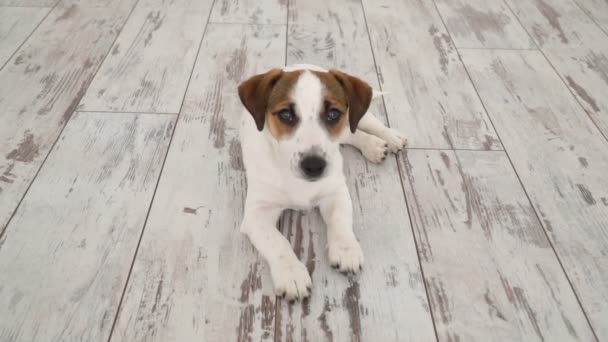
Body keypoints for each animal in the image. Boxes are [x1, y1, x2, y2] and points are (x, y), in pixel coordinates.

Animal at [239, 63, 408, 300]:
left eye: (333, 114)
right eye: (285, 114)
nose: (313, 165)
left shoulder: (335, 191)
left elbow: (339, 220)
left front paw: (346, 249)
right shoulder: (257, 214)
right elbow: (277, 242)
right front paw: (292, 273)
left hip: (355, 117)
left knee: (359, 126)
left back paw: (388, 138)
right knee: (351, 134)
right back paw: (373, 145)